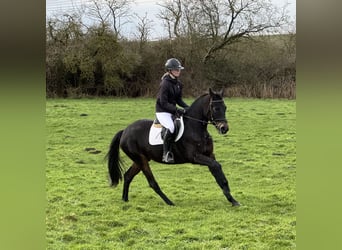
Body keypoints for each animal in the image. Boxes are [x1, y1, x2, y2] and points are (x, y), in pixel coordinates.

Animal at [107, 89, 240, 206]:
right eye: (215, 108)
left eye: (225, 107)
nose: (224, 128)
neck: (196, 128)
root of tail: (125, 131)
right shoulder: (195, 157)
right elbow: (216, 166)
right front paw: (231, 198)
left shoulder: (210, 155)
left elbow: (218, 174)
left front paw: (232, 200)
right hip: (141, 160)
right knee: (152, 182)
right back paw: (169, 202)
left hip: (141, 159)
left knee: (128, 176)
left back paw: (125, 199)